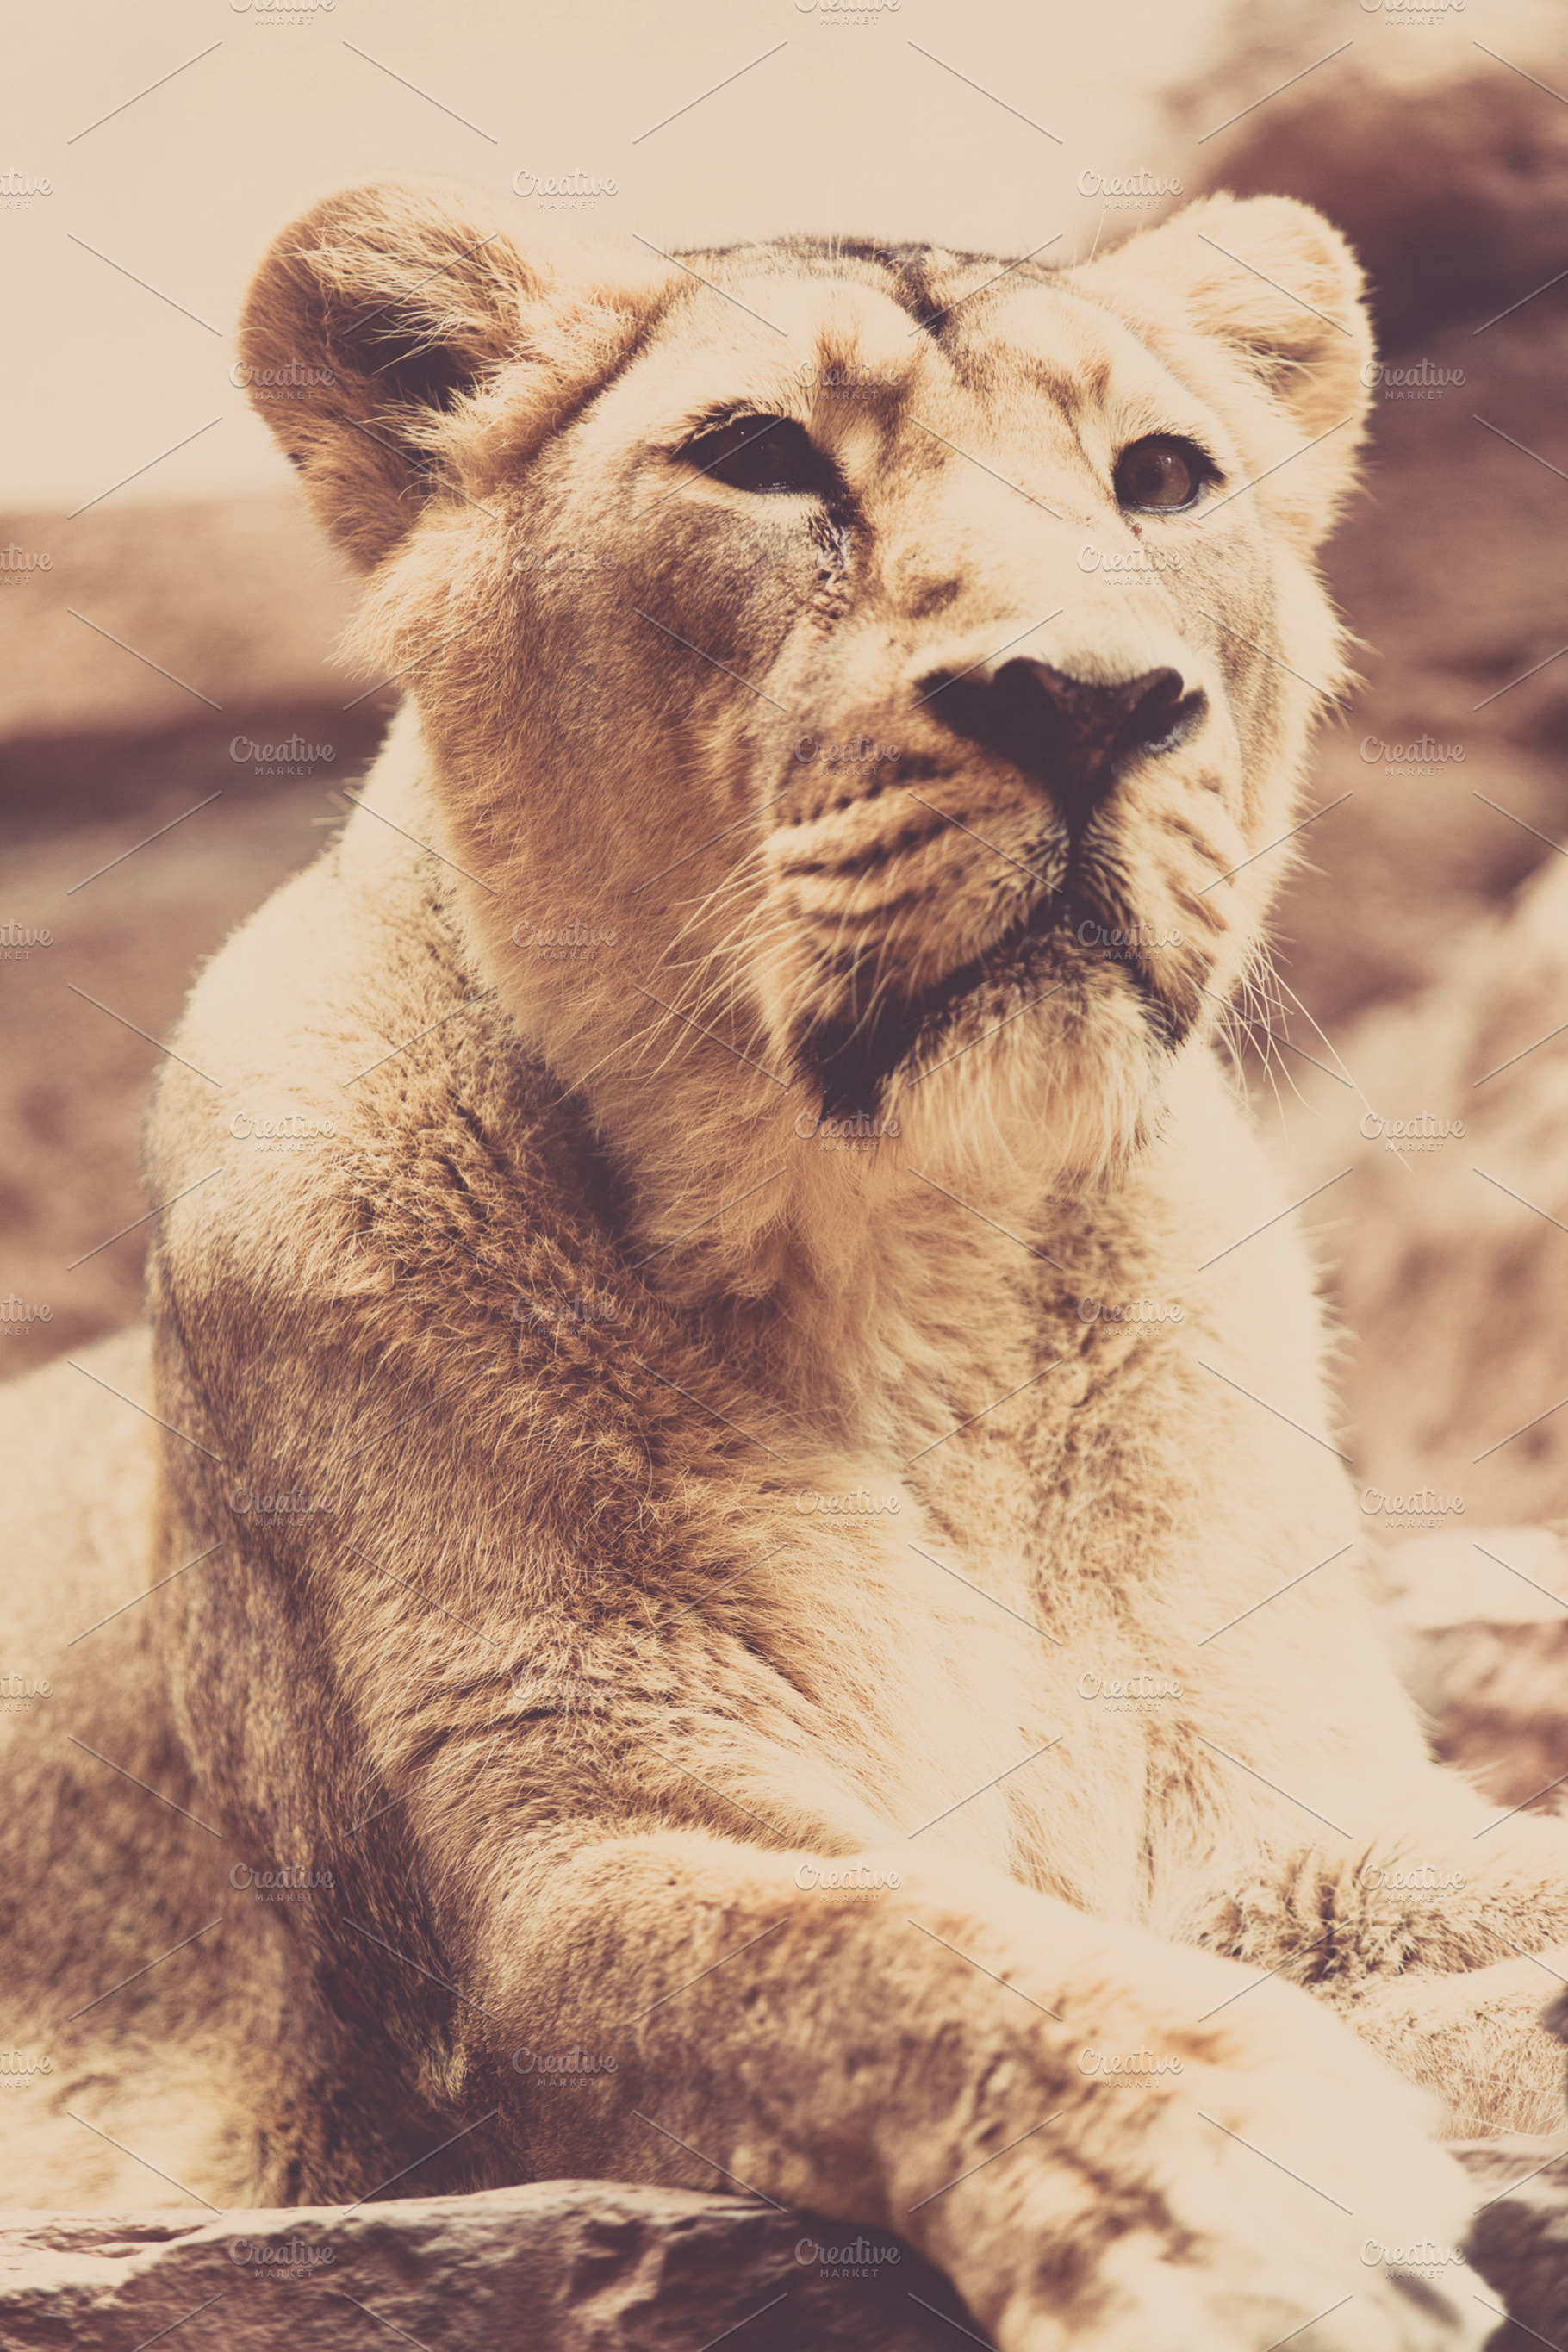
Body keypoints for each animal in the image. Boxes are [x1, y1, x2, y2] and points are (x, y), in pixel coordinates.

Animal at [5, 178, 1568, 2351]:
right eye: (759, 456)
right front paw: (1250, 2205)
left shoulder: (1283, 1827)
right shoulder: (550, 1868)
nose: (1088, 696)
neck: (927, 1274)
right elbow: (868, 1961)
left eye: (1162, 476)